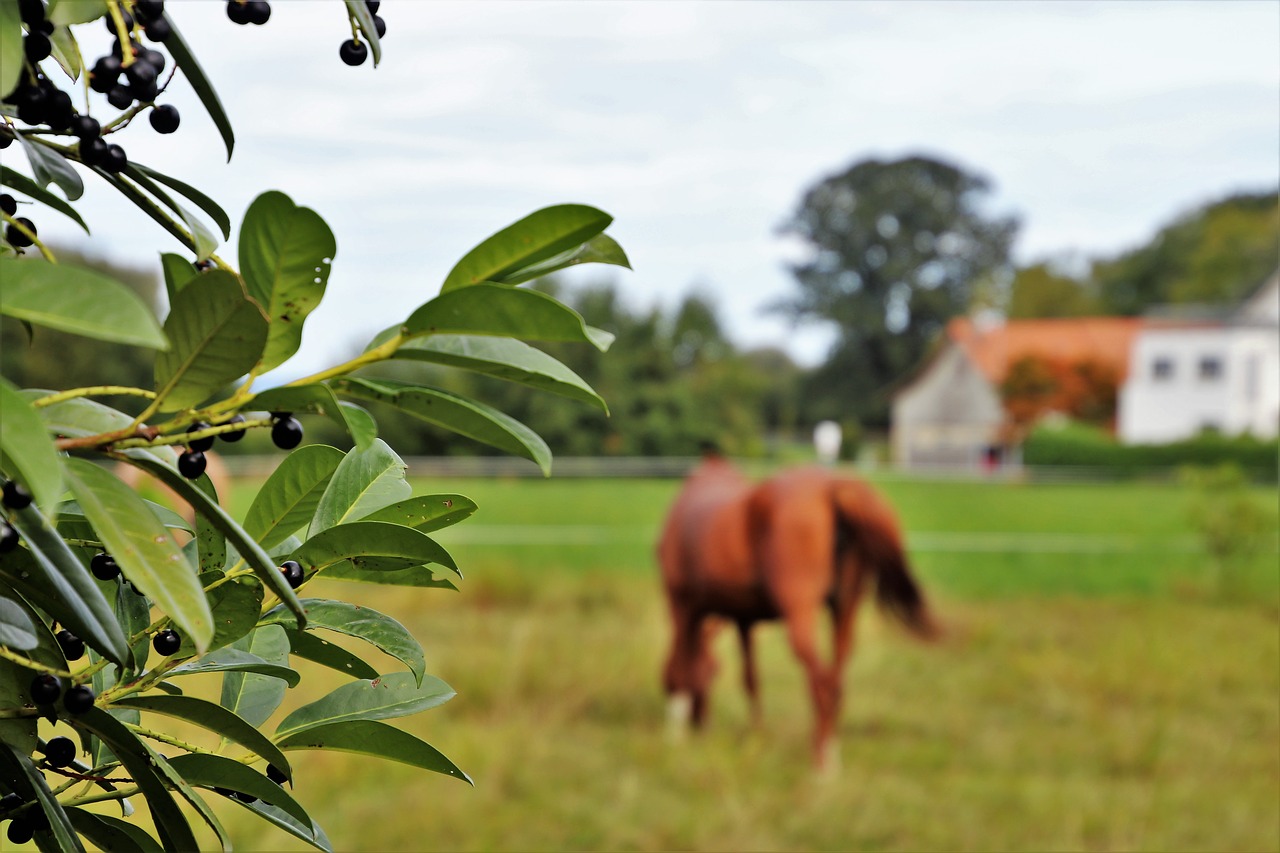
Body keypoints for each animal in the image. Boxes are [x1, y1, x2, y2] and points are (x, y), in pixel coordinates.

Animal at [655, 448, 936, 768]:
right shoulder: (743, 619)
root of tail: (832, 488)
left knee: (822, 685)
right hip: (845, 610)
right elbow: (751, 679)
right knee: (836, 683)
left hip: (801, 616)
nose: (702, 725)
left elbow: (682, 666)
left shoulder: (680, 604)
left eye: (714, 672)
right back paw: (830, 751)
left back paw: (823, 765)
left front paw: (674, 738)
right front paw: (757, 734)